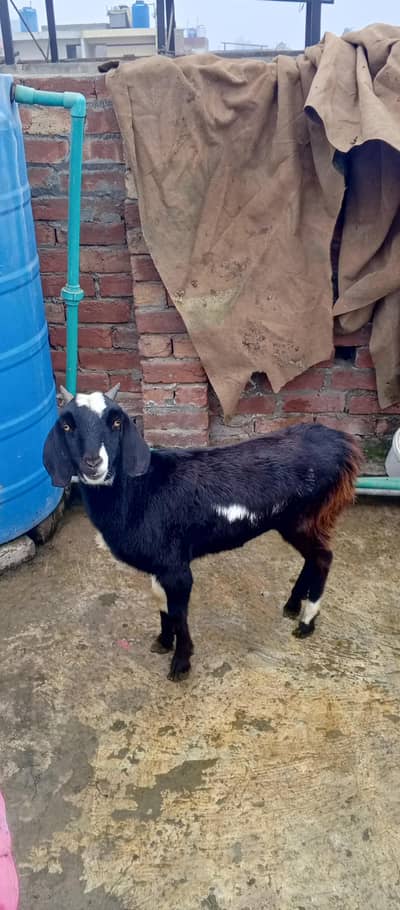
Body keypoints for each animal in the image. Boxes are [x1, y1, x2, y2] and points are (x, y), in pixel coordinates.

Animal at [43, 385, 362, 681]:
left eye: (117, 421)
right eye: (67, 425)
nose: (93, 463)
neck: (139, 491)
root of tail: (340, 443)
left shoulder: (175, 567)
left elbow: (178, 610)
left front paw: (181, 663)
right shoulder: (160, 563)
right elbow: (161, 601)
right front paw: (163, 641)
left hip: (304, 518)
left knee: (323, 558)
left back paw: (306, 622)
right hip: (294, 522)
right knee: (312, 557)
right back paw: (293, 605)